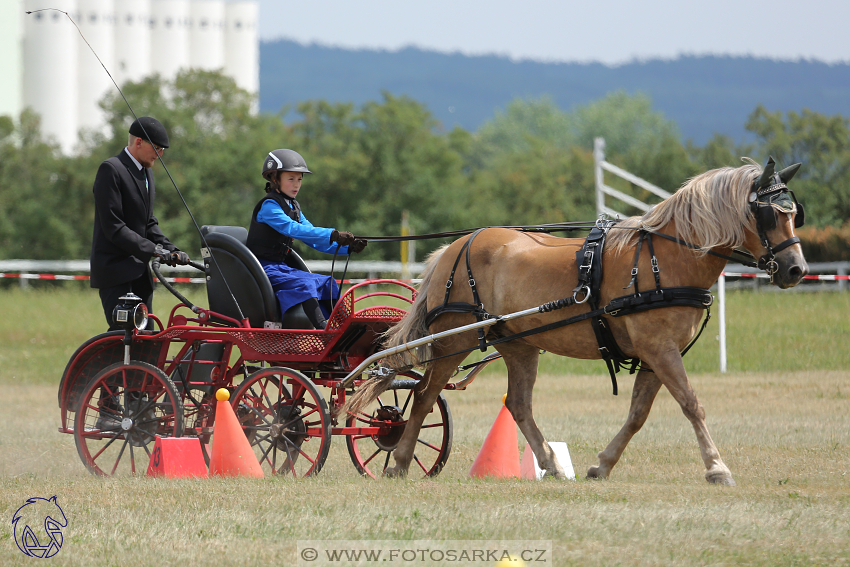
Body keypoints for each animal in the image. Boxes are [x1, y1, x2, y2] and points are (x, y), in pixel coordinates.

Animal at [342, 158, 804, 486]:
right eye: (768, 215)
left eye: (794, 212)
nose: (795, 270)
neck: (666, 257)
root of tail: (455, 247)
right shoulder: (660, 349)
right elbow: (692, 404)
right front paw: (717, 467)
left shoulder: (655, 354)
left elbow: (638, 414)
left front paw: (603, 465)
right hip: (453, 340)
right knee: (423, 396)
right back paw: (399, 462)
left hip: (519, 344)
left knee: (518, 404)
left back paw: (549, 461)